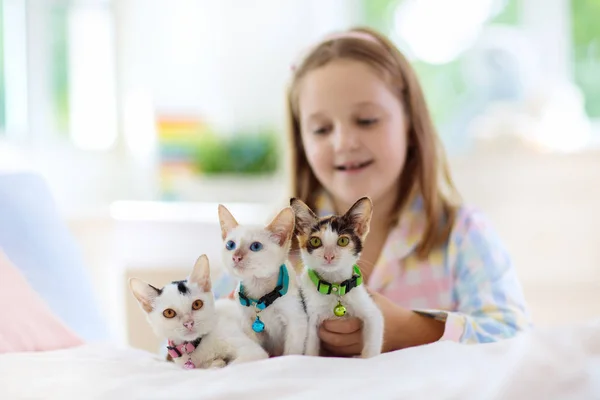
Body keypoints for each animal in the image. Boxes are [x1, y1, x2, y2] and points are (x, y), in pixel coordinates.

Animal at [130, 255, 268, 370]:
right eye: (169, 313)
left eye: (197, 304)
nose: (189, 323)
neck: (196, 346)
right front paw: (216, 363)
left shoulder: (253, 352)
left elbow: (228, 367)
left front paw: (218, 364)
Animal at [218, 205, 308, 358]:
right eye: (230, 244)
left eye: (256, 246)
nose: (236, 257)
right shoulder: (247, 323)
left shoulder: (297, 322)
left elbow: (291, 353)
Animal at [290, 198, 384, 360]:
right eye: (315, 242)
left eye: (343, 241)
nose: (329, 256)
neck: (334, 287)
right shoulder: (311, 315)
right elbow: (309, 347)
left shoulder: (371, 311)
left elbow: (374, 336)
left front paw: (368, 358)